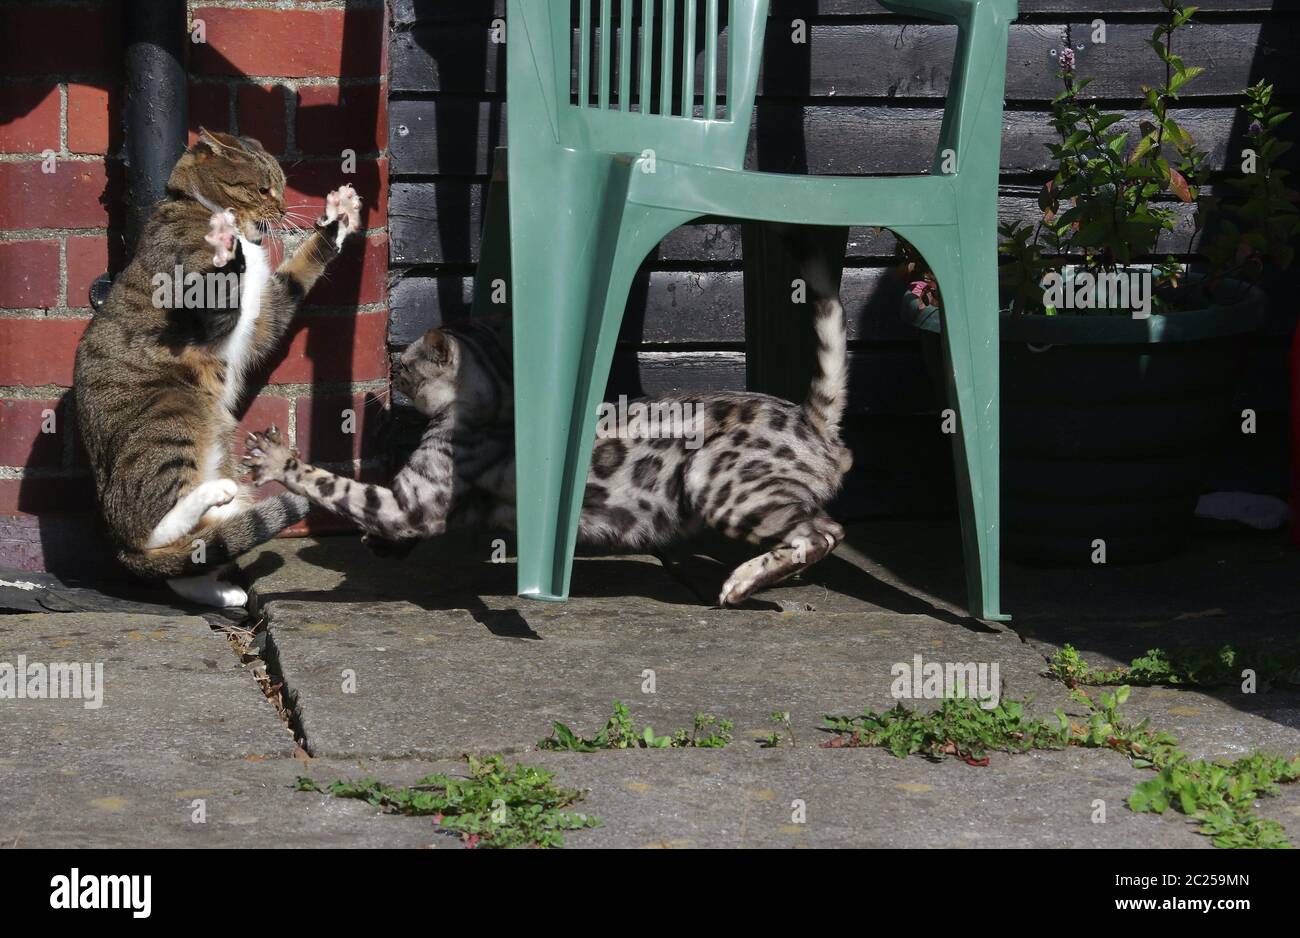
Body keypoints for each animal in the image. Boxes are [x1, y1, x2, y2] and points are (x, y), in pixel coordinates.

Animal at [75, 129, 361, 605]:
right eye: (262, 189)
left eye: (281, 186)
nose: (284, 209)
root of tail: (114, 546)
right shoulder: (199, 301)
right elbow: (220, 285)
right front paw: (227, 248)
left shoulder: (268, 313)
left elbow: (301, 269)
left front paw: (339, 214)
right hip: (171, 414)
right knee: (148, 532)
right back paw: (212, 498)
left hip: (217, 444)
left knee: (189, 554)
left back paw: (225, 590)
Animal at [244, 300, 852, 605]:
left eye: (406, 366)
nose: (390, 373)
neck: (500, 401)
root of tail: (811, 420)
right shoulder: (424, 507)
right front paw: (382, 547)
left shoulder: (409, 502)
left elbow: (336, 486)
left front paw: (276, 460)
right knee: (821, 530)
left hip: (720, 487)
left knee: (823, 533)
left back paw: (745, 581)